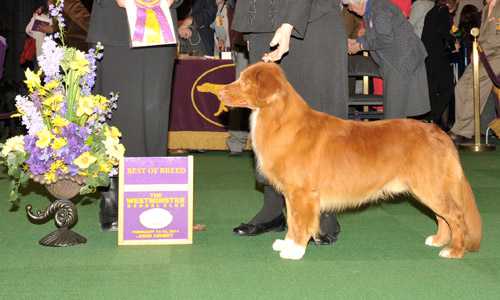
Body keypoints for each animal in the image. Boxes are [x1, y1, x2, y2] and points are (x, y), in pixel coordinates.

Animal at [219, 62, 480, 258]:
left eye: (244, 82)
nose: (220, 92)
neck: (280, 120)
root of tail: (439, 132)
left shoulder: (302, 193)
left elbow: (300, 222)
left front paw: (295, 250)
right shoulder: (292, 194)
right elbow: (292, 221)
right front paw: (287, 243)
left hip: (429, 185)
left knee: (456, 215)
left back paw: (454, 251)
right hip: (429, 187)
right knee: (442, 217)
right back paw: (438, 240)